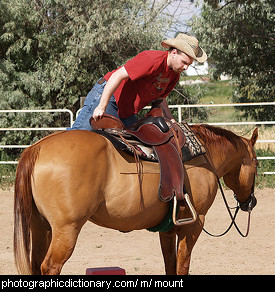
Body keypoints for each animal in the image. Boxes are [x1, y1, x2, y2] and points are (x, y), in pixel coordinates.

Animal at [13, 123, 258, 274]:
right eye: (256, 163)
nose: (251, 202)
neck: (203, 155)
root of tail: (36, 149)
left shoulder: (168, 229)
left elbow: (170, 264)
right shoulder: (194, 225)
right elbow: (183, 265)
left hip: (40, 226)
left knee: (36, 264)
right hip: (66, 230)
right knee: (50, 267)